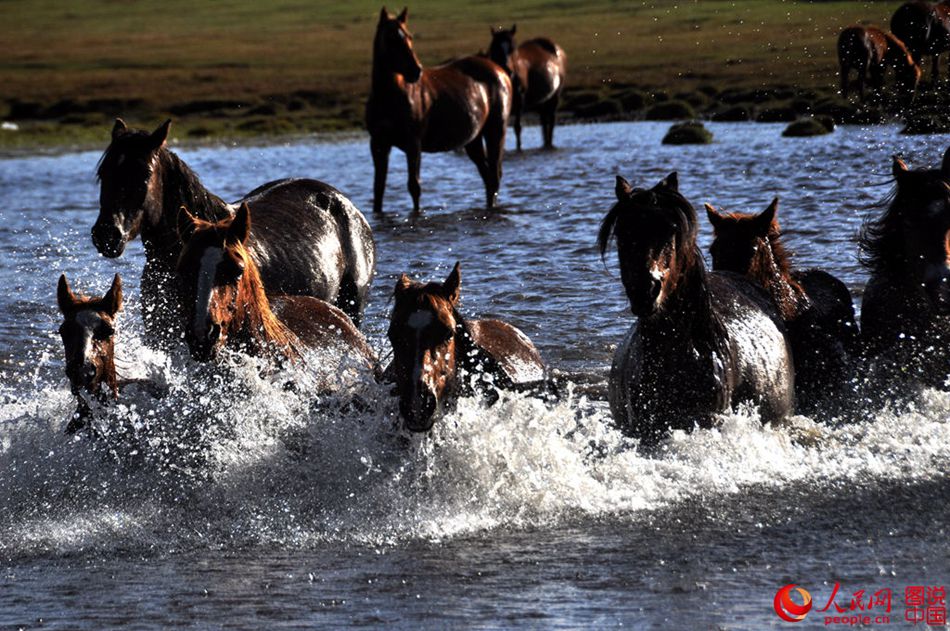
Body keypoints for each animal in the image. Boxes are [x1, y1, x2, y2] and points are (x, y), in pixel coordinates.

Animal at [366, 7, 512, 213]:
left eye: (409, 37)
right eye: (390, 38)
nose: (415, 71)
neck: (389, 97)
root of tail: (500, 70)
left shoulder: (414, 144)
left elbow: (414, 187)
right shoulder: (378, 144)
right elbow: (378, 189)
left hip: (496, 131)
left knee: (494, 175)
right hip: (474, 140)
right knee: (488, 178)